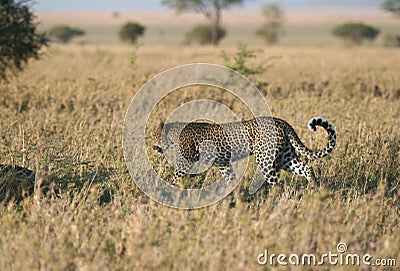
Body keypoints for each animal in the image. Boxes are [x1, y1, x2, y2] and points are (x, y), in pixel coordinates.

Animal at [152, 117, 336, 187]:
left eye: (154, 134)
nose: (152, 143)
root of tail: (282, 121)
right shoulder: (223, 164)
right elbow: (230, 179)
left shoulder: (185, 162)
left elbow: (175, 178)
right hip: (286, 157)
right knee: (306, 168)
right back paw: (314, 187)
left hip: (265, 159)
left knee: (276, 183)